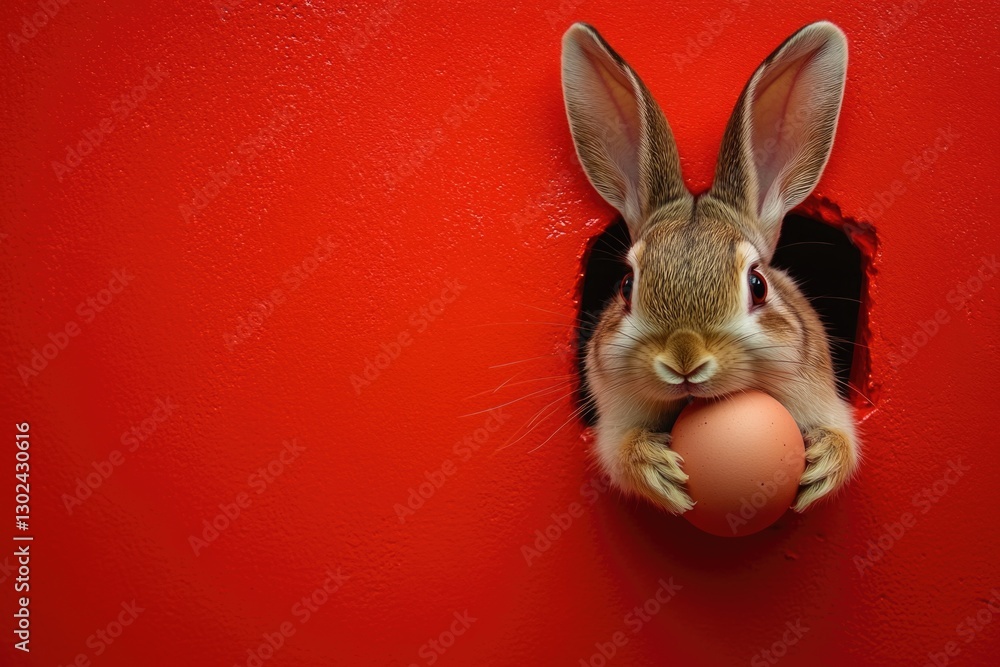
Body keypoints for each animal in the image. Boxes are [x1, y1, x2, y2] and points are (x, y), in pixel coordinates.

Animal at [561, 20, 860, 514]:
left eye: (757, 284)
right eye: (626, 284)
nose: (685, 359)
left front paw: (821, 467)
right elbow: (622, 451)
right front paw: (661, 472)